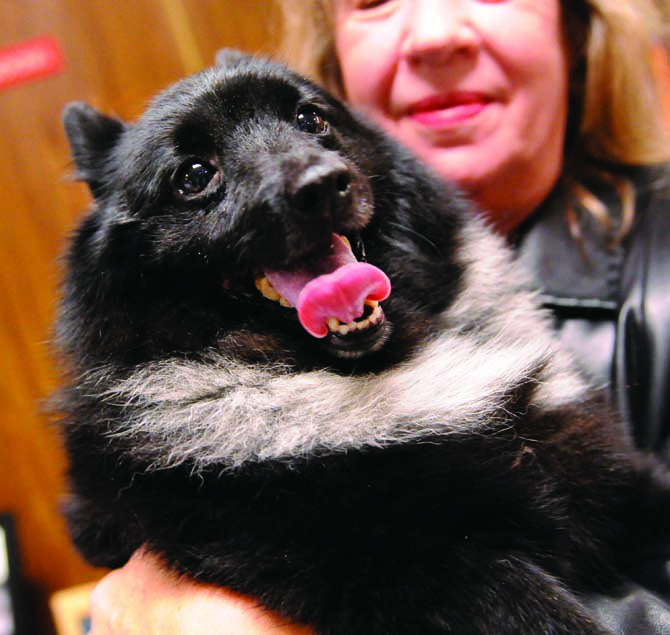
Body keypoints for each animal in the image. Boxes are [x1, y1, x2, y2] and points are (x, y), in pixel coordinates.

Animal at [56, 51, 670, 635]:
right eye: (193, 176)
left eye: (310, 119)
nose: (321, 185)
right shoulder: (417, 564)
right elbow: (537, 609)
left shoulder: (608, 475)